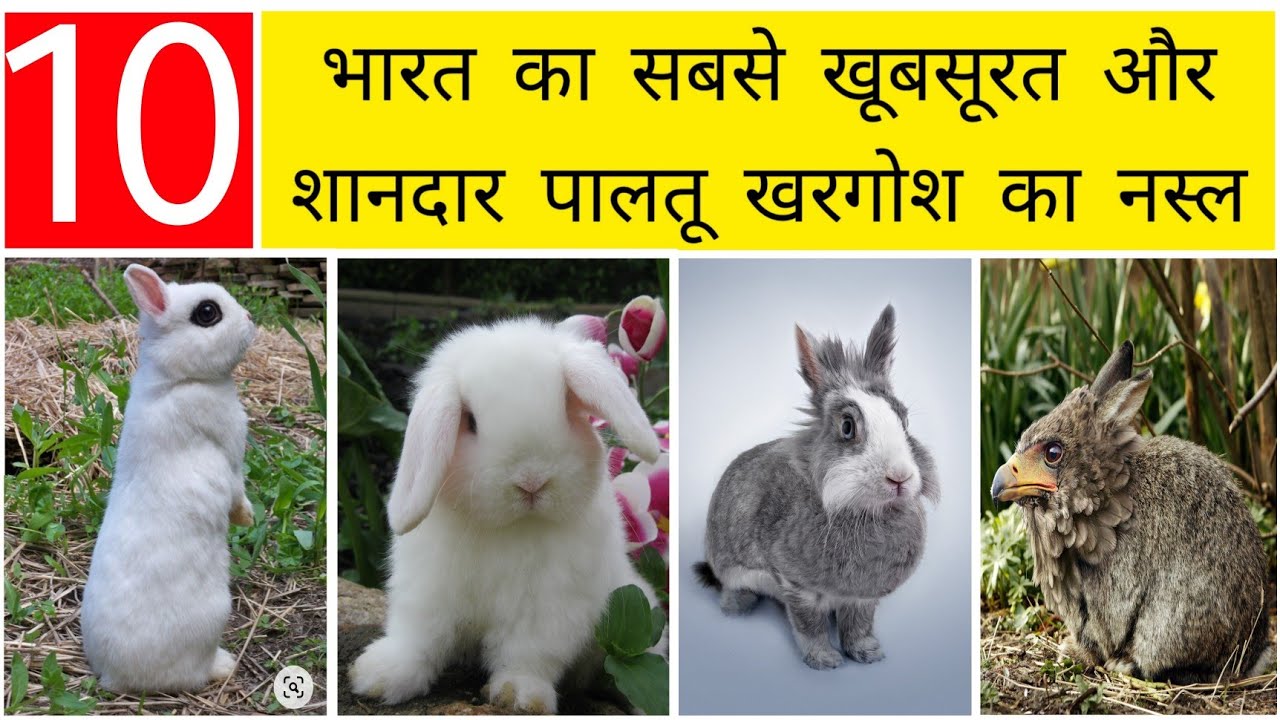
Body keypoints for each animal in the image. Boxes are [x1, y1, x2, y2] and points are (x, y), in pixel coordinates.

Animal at [81, 264, 258, 693]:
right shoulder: (230, 455)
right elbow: (236, 490)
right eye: (207, 313)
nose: (250, 318)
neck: (180, 380)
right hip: (213, 618)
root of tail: (115, 676)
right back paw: (224, 666)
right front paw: (247, 518)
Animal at [349, 317, 664, 714]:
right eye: (470, 421)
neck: (509, 528)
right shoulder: (428, 589)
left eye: (565, 405)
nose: (531, 482)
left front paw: (519, 696)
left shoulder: (549, 605)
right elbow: (419, 637)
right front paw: (378, 677)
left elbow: (529, 653)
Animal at [695, 305, 939, 670]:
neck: (862, 511)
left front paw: (868, 654)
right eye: (848, 427)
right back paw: (738, 608)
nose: (900, 477)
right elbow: (809, 625)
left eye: (904, 421)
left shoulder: (861, 597)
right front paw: (825, 661)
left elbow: (859, 625)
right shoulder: (797, 586)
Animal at [991, 340, 1273, 682]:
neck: (1104, 496)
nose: (997, 483)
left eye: (1053, 453)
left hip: (1163, 627)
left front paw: (1075, 653)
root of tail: (1251, 655)